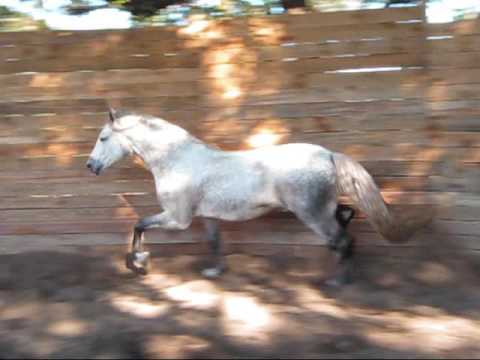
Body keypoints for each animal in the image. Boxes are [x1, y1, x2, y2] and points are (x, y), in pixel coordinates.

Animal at [87, 108, 432, 286]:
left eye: (103, 138)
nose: (91, 166)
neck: (176, 160)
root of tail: (328, 154)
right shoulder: (207, 216)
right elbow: (214, 242)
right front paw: (214, 271)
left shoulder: (177, 218)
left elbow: (138, 224)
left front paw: (140, 264)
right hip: (322, 209)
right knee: (346, 219)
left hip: (312, 213)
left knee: (343, 238)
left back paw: (337, 282)